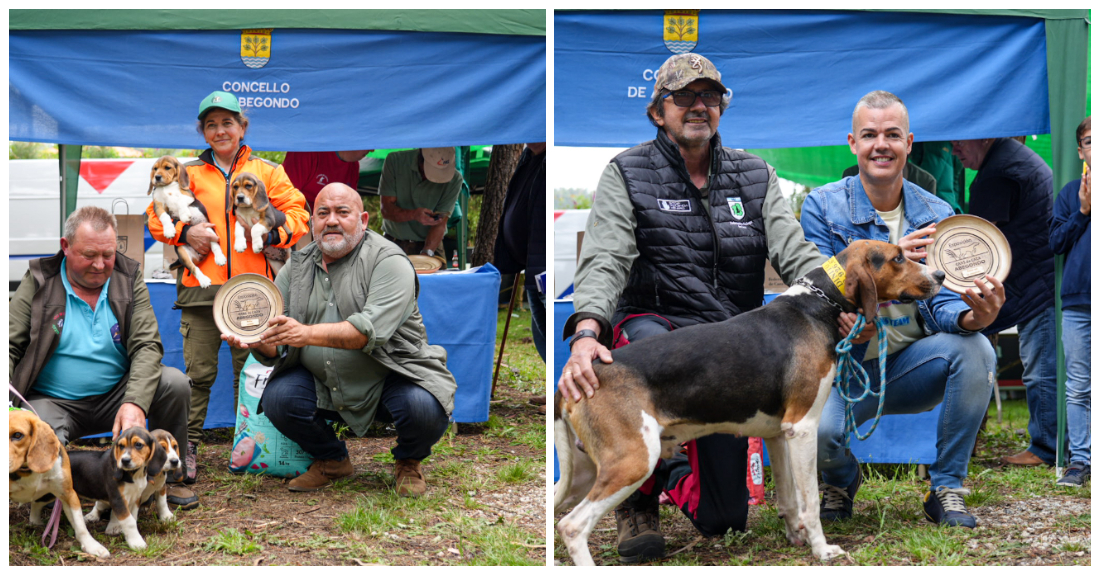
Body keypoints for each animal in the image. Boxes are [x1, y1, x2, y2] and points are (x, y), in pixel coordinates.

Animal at [8, 408, 110, 558]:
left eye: (17, 435)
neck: (27, 470)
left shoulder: (68, 494)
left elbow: (80, 525)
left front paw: (92, 545)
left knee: (36, 504)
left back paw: (35, 522)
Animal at [147, 155, 226, 290]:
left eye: (167, 167)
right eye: (155, 169)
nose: (156, 177)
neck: (167, 187)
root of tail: (198, 256)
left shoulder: (188, 196)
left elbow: (179, 200)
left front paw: (184, 215)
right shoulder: (158, 205)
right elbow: (164, 217)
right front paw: (169, 230)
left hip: (209, 229)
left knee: (215, 245)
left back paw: (220, 258)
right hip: (182, 251)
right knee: (194, 268)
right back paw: (204, 280)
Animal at [558, 239, 946, 567]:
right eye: (898, 258)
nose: (940, 275)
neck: (819, 303)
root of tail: (579, 376)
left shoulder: (778, 433)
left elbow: (789, 499)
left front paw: (796, 538)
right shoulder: (803, 429)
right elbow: (810, 502)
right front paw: (821, 549)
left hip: (587, 472)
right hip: (634, 460)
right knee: (572, 526)